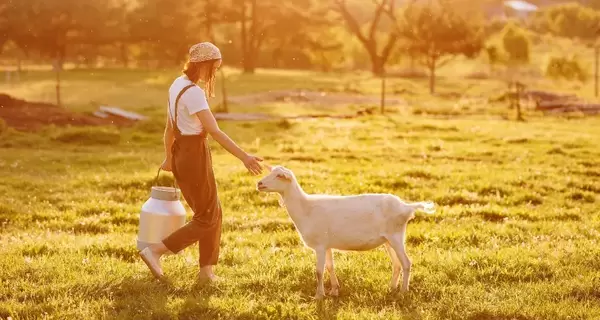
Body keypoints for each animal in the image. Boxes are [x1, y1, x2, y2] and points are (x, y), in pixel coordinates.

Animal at [255, 166, 434, 298]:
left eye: (279, 175)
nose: (259, 183)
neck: (305, 208)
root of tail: (407, 207)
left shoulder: (320, 245)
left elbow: (319, 271)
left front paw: (318, 296)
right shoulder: (327, 245)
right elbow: (330, 267)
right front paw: (334, 291)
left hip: (396, 236)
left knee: (406, 263)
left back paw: (403, 292)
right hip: (388, 240)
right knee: (397, 264)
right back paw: (391, 288)